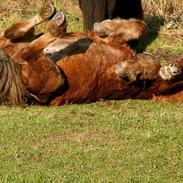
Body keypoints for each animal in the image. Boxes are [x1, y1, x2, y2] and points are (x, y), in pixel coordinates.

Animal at [0, 3, 183, 106]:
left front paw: (129, 68)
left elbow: (153, 65)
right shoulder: (109, 41)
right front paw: (104, 26)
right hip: (18, 44)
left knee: (26, 52)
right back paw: (48, 13)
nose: (175, 69)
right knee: (10, 34)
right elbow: (139, 27)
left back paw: (56, 25)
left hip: (53, 78)